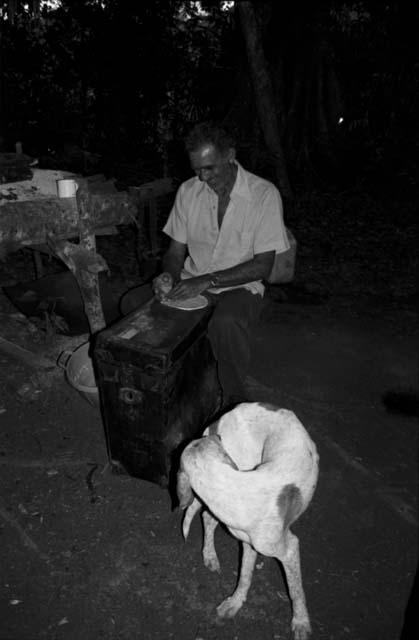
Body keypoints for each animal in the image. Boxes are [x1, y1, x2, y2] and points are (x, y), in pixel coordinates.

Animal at [176, 402, 318, 636]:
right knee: (207, 517)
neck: (232, 487)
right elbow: (244, 576)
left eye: (216, 441)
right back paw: (210, 555)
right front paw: (235, 602)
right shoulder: (251, 544)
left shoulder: (286, 549)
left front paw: (300, 622)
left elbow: (295, 591)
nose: (218, 437)